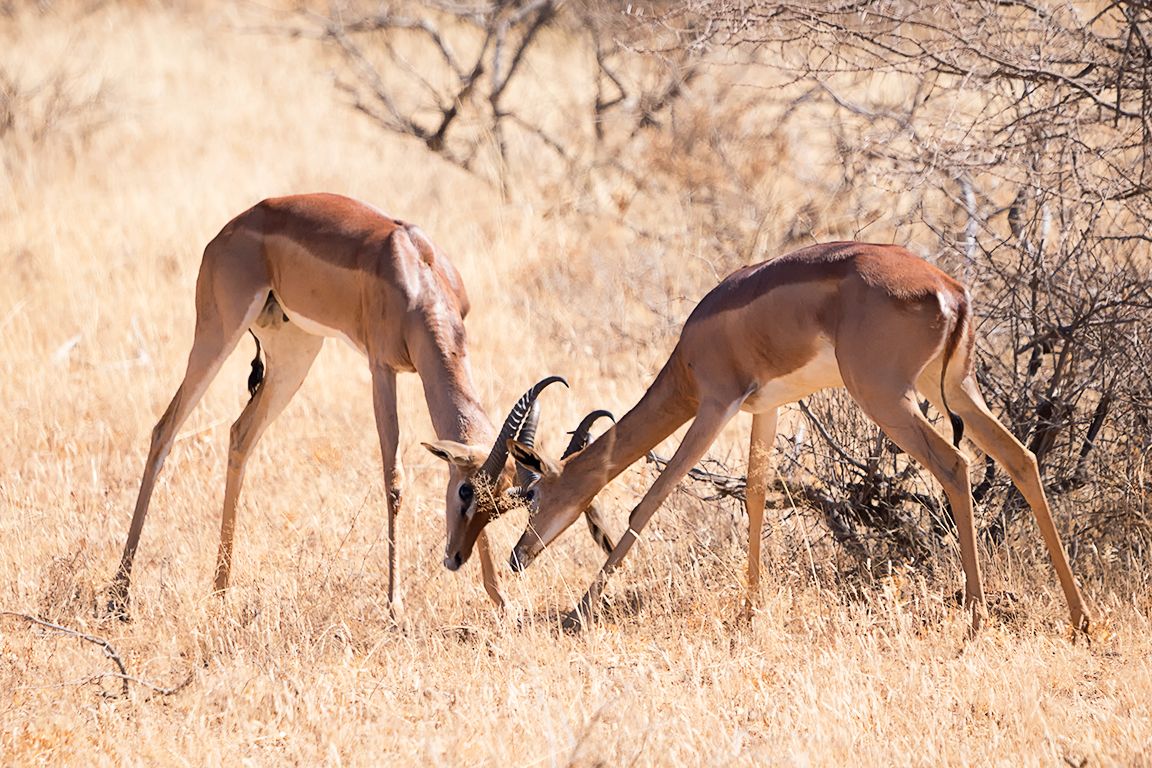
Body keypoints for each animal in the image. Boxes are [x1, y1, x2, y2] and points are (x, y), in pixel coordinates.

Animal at [106, 193, 584, 618]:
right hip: (217, 332)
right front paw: (395, 607)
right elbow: (394, 478)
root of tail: (230, 229)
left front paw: (502, 600)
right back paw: (119, 594)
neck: (417, 273)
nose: (453, 558)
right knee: (165, 429)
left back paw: (221, 590)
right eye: (465, 492)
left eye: (498, 506)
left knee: (240, 433)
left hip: (295, 354)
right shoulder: (381, 368)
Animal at [469, 242, 1089, 634]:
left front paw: (577, 612)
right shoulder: (763, 409)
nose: (519, 557)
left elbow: (650, 501)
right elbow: (757, 496)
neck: (692, 351)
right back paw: (1079, 619)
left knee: (956, 465)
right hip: (956, 390)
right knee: (1022, 458)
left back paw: (977, 621)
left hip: (888, 397)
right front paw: (748, 611)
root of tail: (950, 290)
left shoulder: (716, 405)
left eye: (530, 493)